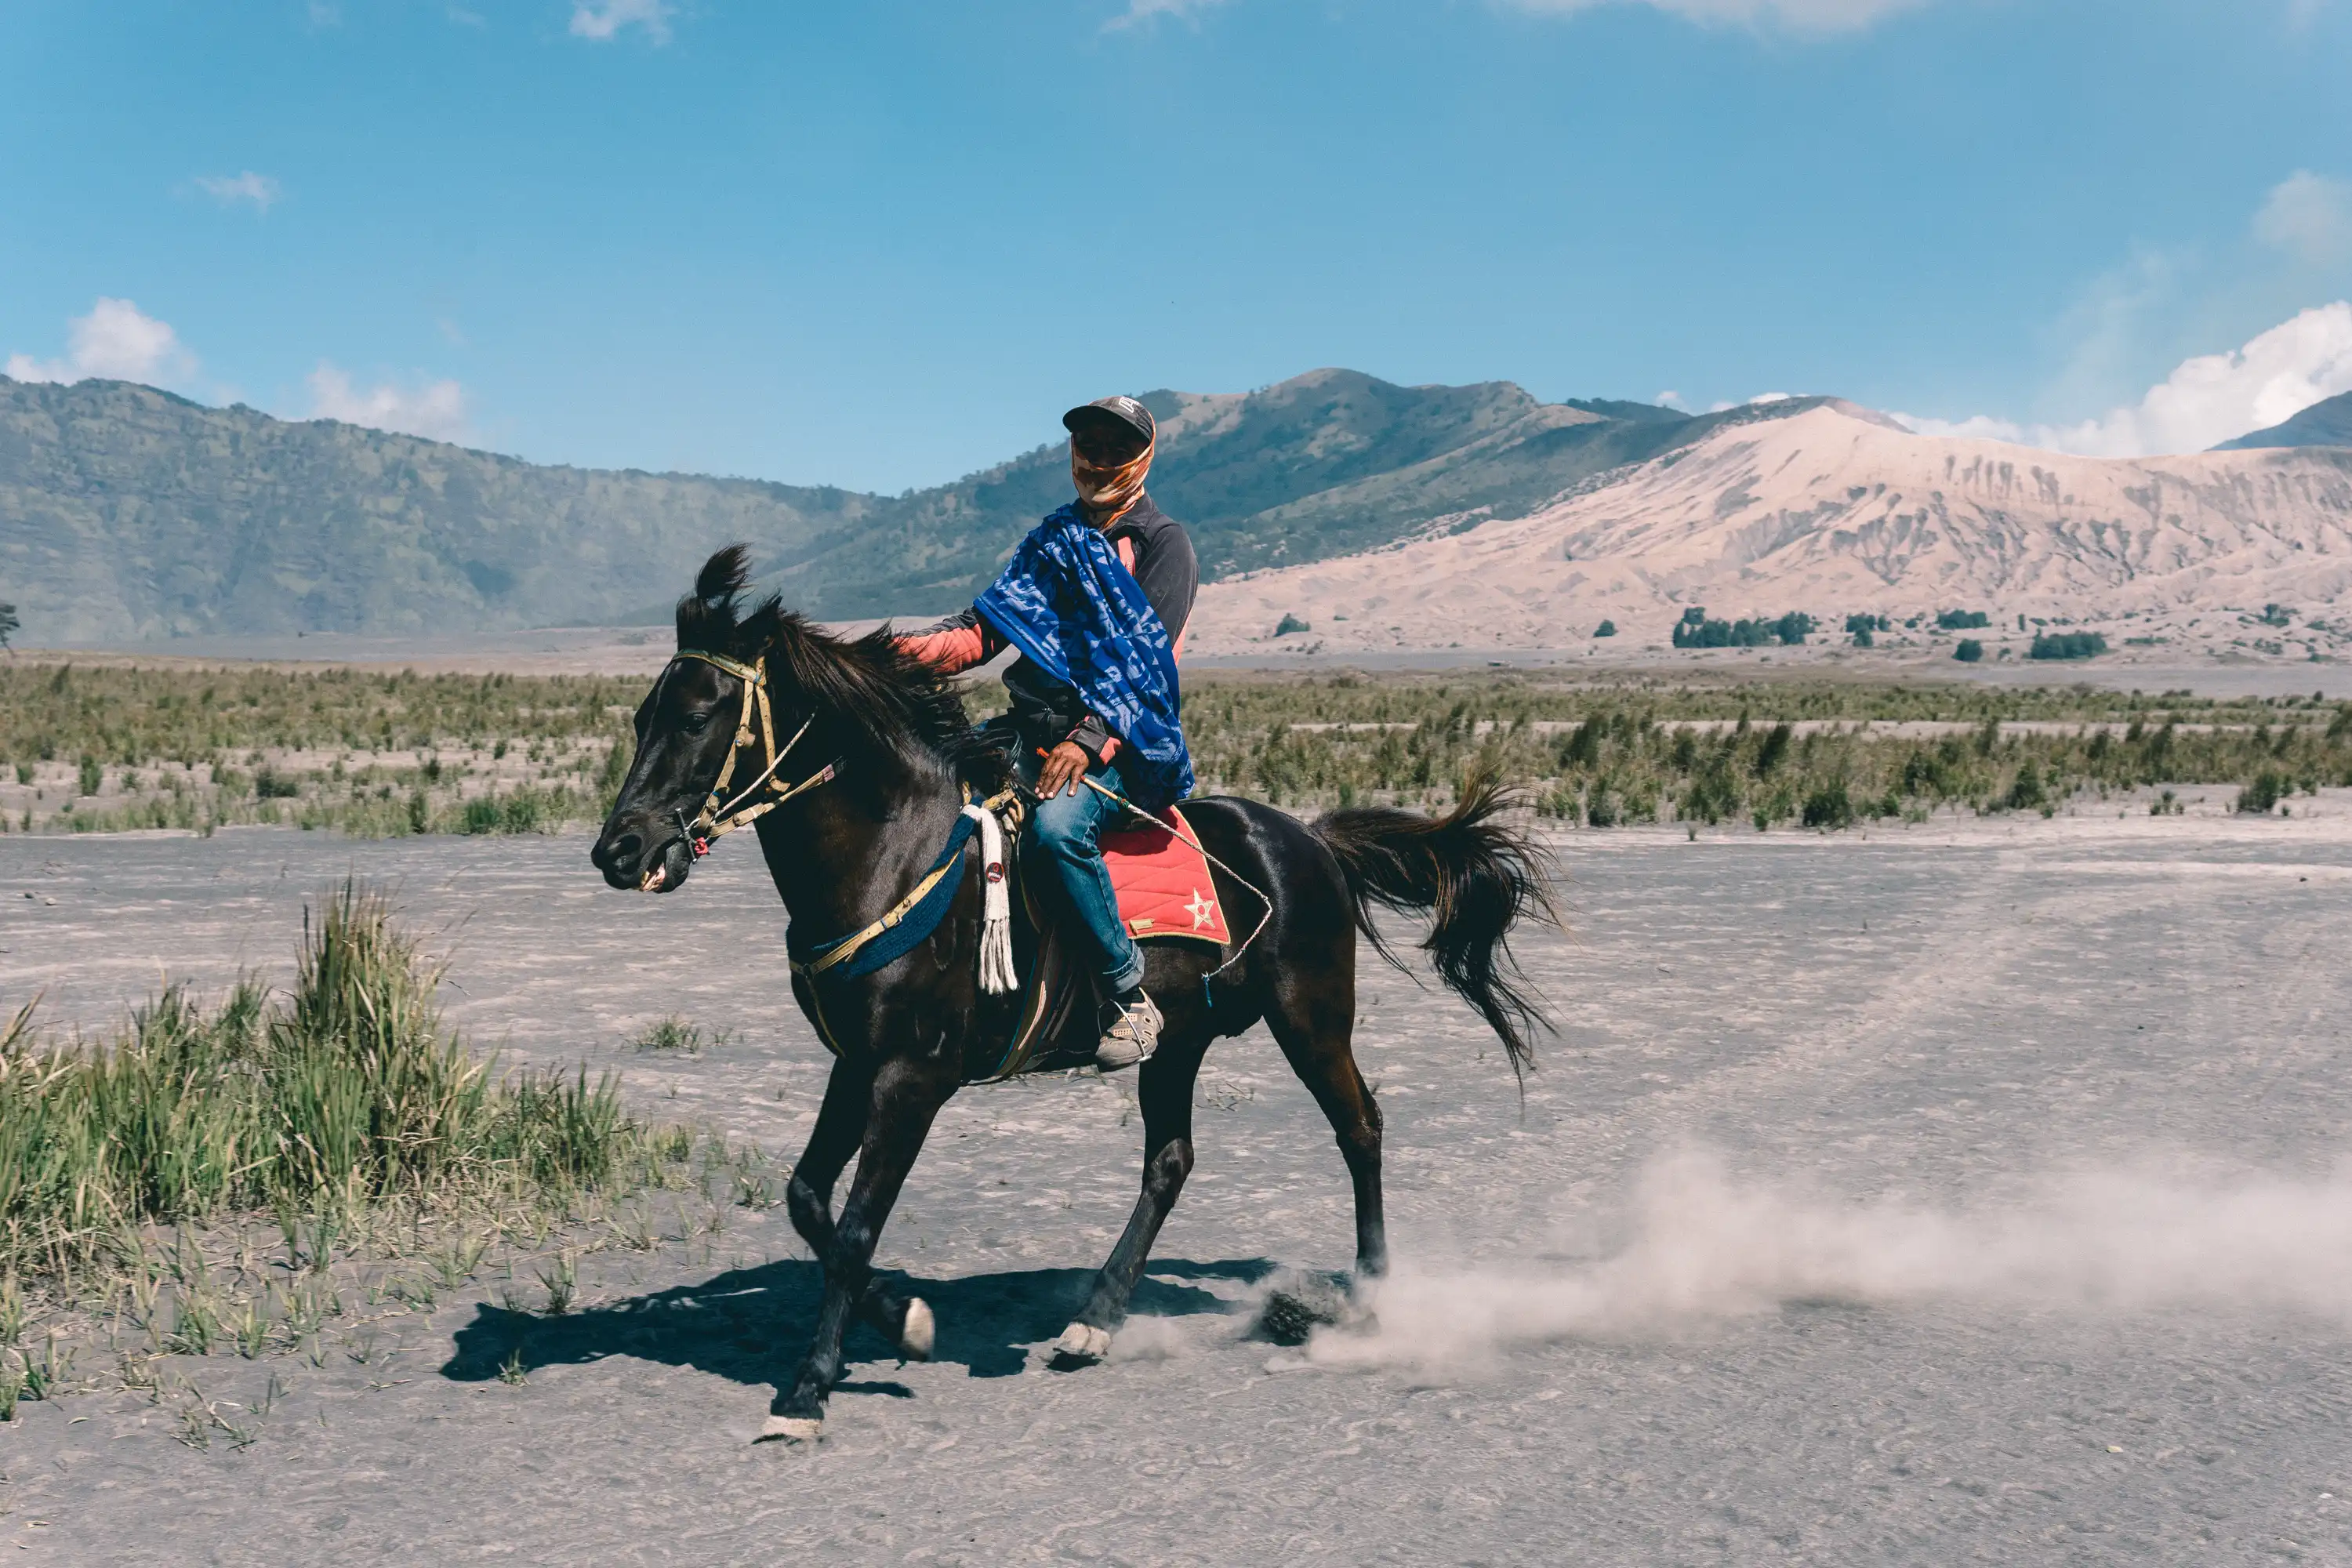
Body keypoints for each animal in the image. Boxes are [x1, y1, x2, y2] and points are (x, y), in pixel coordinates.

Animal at [589, 546, 1557, 1442]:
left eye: (699, 715)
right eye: (641, 716)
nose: (619, 849)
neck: (893, 853)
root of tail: (1308, 837)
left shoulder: (914, 1073)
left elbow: (858, 1224)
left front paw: (810, 1388)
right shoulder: (857, 1061)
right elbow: (806, 1199)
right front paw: (899, 1317)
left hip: (1311, 1016)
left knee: (1360, 1127)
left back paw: (1369, 1300)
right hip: (1179, 1040)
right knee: (1171, 1161)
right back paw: (1093, 1322)